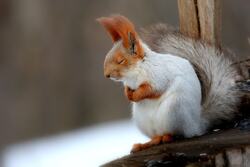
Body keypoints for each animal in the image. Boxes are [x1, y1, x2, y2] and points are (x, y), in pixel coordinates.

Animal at [96, 14, 247, 153]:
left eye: (121, 60)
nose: (106, 75)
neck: (134, 73)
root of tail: (196, 125)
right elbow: (128, 89)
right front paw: (128, 94)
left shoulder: (159, 77)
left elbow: (152, 89)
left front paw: (137, 95)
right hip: (142, 120)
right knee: (156, 136)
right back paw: (145, 143)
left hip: (174, 109)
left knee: (175, 134)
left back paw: (165, 137)